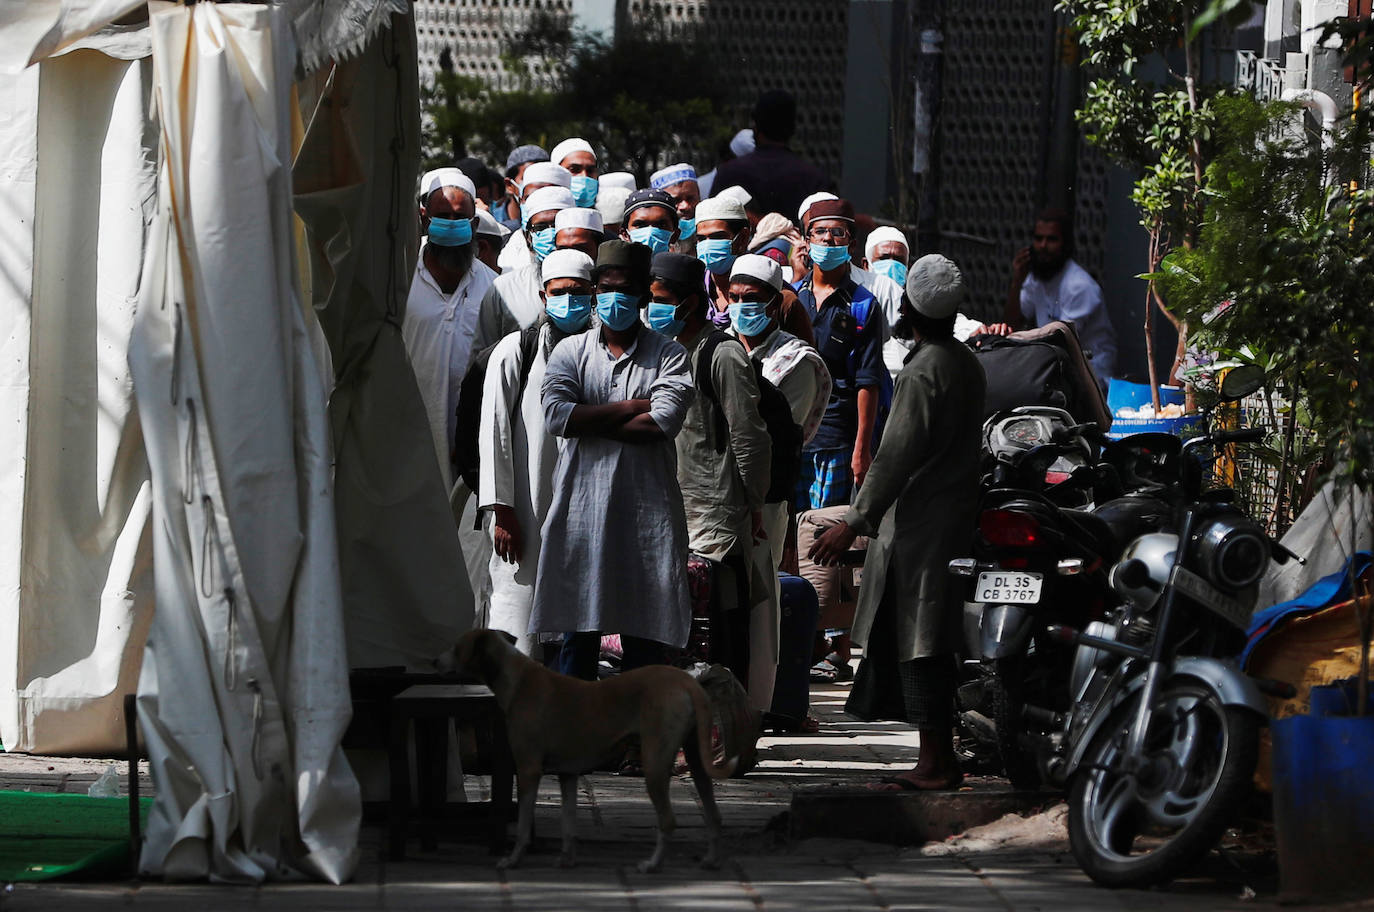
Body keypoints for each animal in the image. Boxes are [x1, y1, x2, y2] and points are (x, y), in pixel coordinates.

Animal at [439, 626, 741, 868]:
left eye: (456, 647)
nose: (434, 660)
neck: (516, 678)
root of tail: (687, 682)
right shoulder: (567, 774)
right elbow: (568, 821)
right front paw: (567, 859)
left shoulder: (528, 770)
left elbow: (524, 823)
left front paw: (512, 860)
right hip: (697, 760)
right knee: (714, 816)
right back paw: (711, 860)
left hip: (655, 763)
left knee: (668, 821)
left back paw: (652, 865)